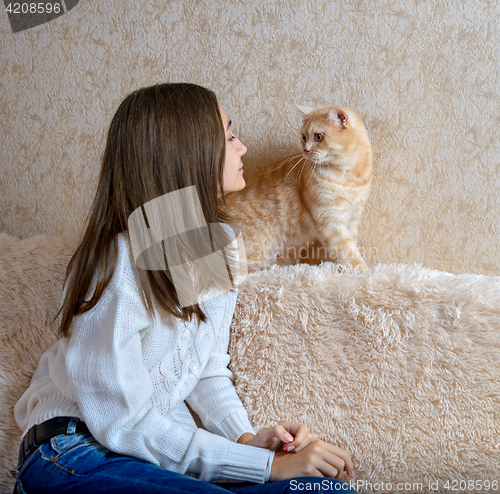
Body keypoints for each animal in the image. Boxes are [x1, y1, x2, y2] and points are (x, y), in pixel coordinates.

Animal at [222, 105, 372, 272]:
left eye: (318, 137)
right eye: (304, 137)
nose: (305, 150)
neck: (349, 176)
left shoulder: (353, 217)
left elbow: (351, 245)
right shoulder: (330, 220)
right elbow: (347, 251)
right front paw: (364, 271)